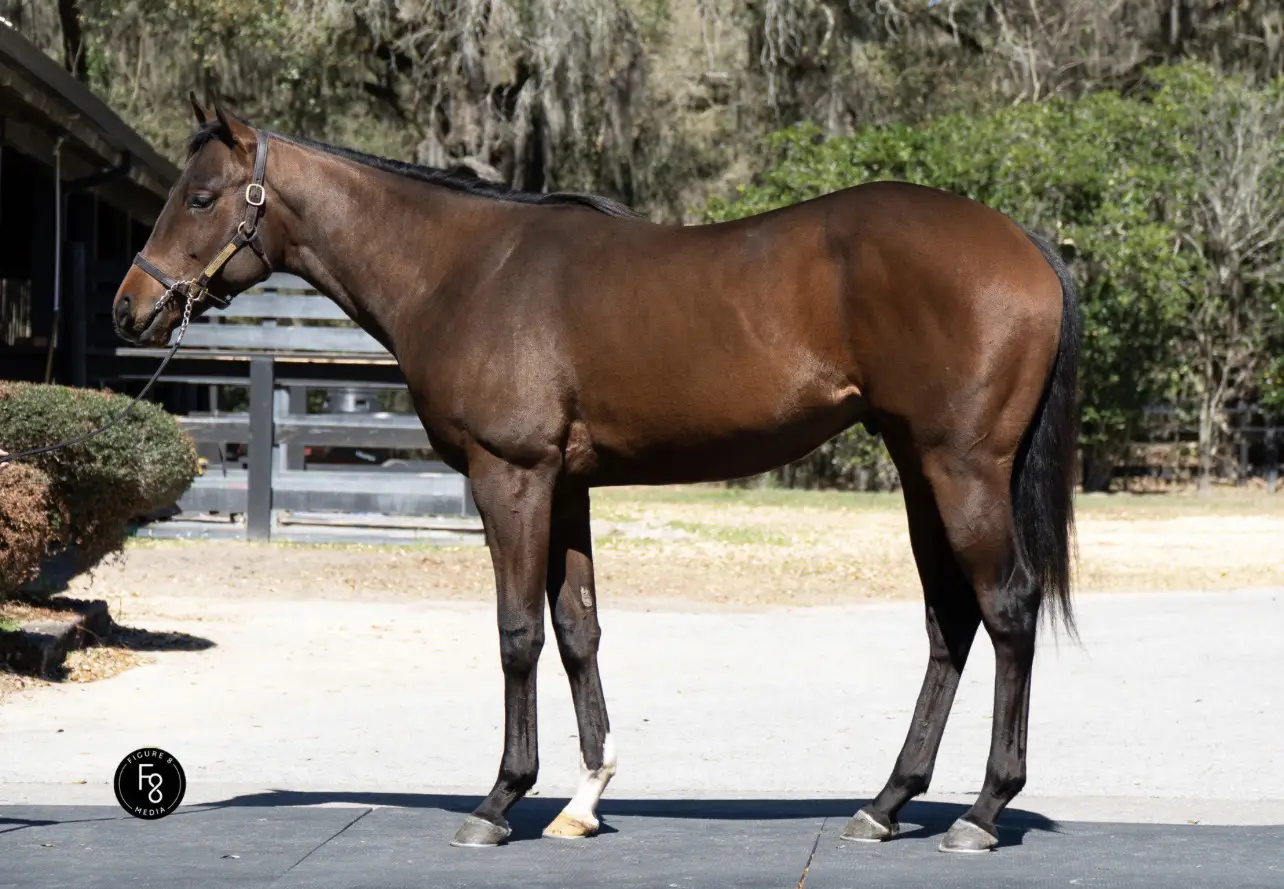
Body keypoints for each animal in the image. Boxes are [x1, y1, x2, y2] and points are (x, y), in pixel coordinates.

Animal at [113, 97, 1078, 854]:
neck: (464, 270)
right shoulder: (566, 484)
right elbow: (579, 629)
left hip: (961, 468)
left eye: (200, 197)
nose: (129, 307)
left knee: (1007, 609)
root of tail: (1027, 243)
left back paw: (983, 811)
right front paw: (583, 798)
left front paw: (500, 800)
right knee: (951, 621)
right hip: (920, 467)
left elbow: (517, 634)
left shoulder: (511, 478)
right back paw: (885, 803)